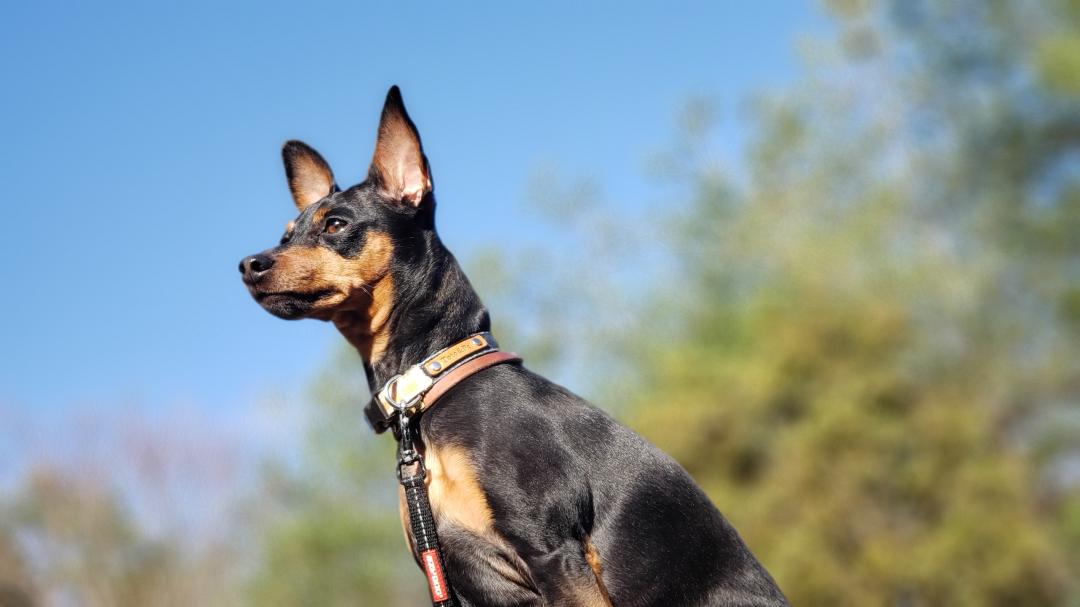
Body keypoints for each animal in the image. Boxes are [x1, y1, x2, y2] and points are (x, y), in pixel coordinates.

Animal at [240, 86, 790, 604]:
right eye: (286, 235)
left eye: (336, 224)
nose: (249, 264)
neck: (433, 385)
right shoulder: (458, 578)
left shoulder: (553, 553)